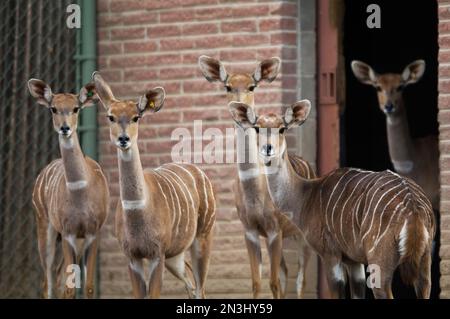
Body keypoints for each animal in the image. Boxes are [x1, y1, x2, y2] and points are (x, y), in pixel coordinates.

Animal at [28, 79, 109, 298]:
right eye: (53, 108)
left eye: (76, 108)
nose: (65, 128)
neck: (80, 190)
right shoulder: (67, 232)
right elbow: (70, 288)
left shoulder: (93, 232)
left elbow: (88, 286)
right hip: (45, 226)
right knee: (48, 280)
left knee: (56, 277)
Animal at [92, 73, 215, 300]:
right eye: (110, 116)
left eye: (136, 117)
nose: (124, 139)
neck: (139, 210)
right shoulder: (133, 255)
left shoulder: (157, 253)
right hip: (175, 254)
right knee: (191, 283)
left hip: (202, 236)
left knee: (200, 287)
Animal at [199, 55, 314, 300]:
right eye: (228, 86)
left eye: (252, 86)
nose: (240, 105)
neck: (256, 189)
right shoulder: (250, 230)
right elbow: (257, 282)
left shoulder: (274, 229)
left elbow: (273, 283)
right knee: (285, 272)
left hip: (302, 235)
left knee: (301, 278)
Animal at [229, 100, 436, 300]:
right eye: (257, 128)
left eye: (282, 128)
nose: (268, 149)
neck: (306, 195)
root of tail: (414, 208)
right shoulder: (353, 261)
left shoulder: (330, 254)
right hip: (424, 262)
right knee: (425, 287)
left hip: (379, 261)